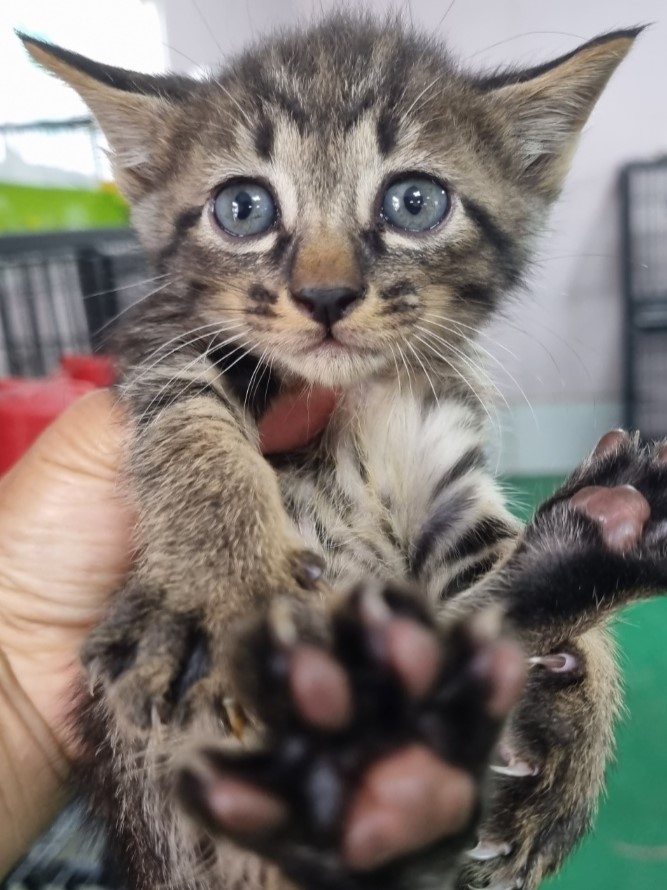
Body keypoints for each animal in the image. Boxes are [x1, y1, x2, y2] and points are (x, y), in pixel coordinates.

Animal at [22, 12, 667, 888]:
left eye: (414, 202)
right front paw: (219, 590)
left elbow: (478, 555)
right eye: (243, 208)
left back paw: (598, 539)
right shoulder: (164, 346)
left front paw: (582, 719)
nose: (325, 296)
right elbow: (189, 422)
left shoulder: (444, 472)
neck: (361, 394)